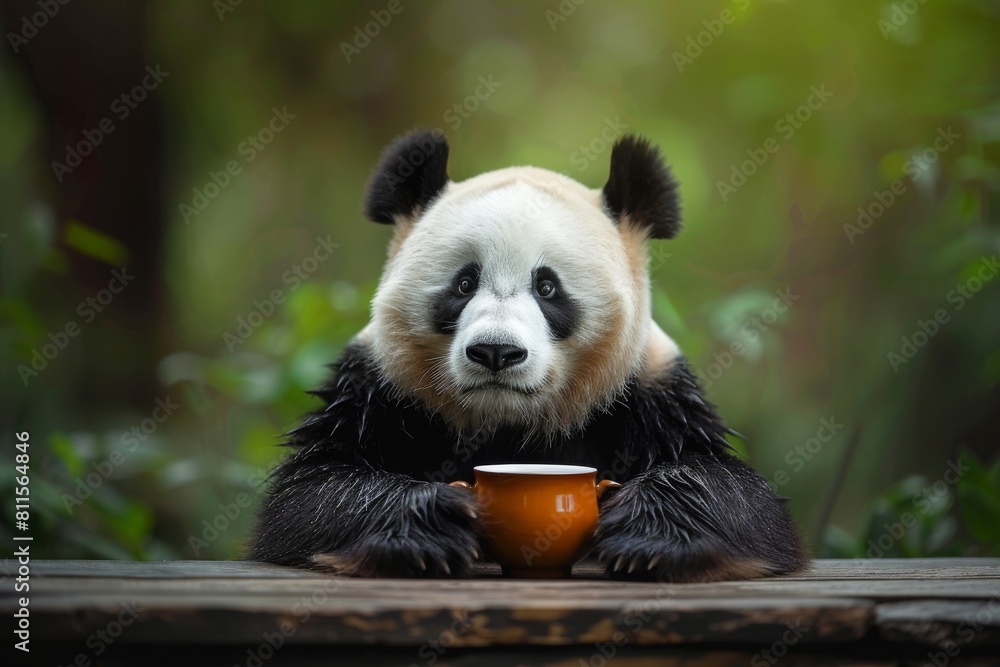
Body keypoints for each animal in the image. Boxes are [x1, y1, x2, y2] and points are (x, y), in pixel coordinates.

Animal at [247, 129, 807, 582]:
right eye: (464, 282)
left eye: (548, 287)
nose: (496, 352)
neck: (509, 422)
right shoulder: (380, 385)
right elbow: (309, 495)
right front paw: (431, 526)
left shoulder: (652, 388)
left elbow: (742, 501)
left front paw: (647, 535)